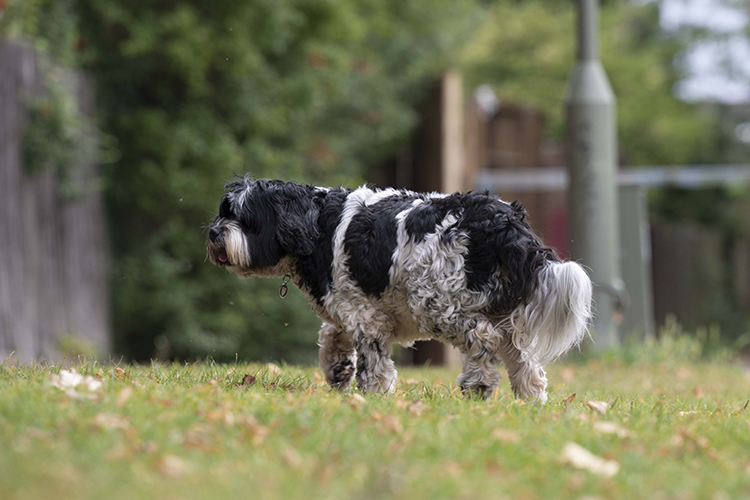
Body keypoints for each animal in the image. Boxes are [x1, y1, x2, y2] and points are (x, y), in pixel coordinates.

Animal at [206, 178, 592, 400]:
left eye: (244, 218)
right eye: (223, 212)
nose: (213, 232)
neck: (317, 225)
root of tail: (503, 222)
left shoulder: (366, 318)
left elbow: (373, 361)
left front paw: (370, 395)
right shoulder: (349, 307)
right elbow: (331, 335)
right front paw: (337, 370)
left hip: (437, 305)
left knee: (482, 339)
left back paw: (477, 385)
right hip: (500, 313)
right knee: (523, 358)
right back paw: (530, 399)